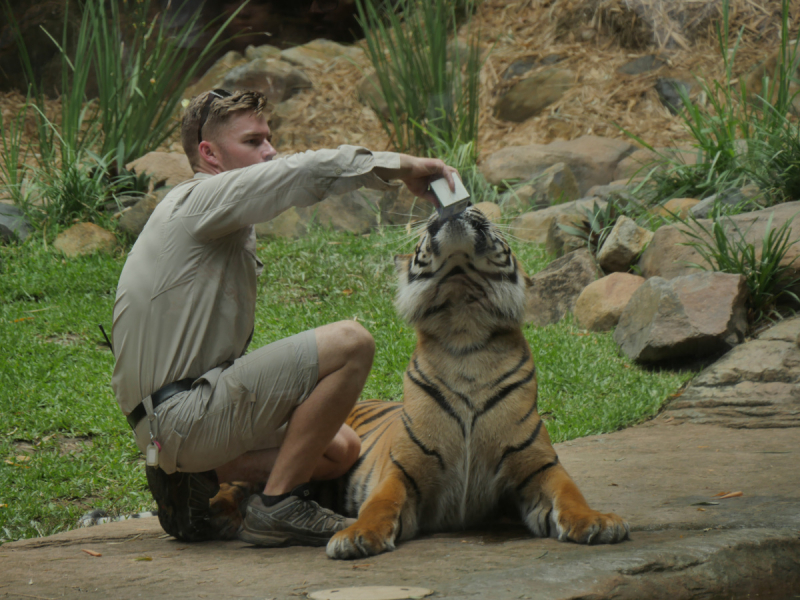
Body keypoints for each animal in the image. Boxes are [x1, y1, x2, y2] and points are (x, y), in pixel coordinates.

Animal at [324, 207, 632, 564]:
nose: (455, 206)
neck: (464, 327)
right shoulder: (399, 470)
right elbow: (379, 504)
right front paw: (356, 536)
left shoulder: (540, 465)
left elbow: (570, 493)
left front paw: (596, 521)